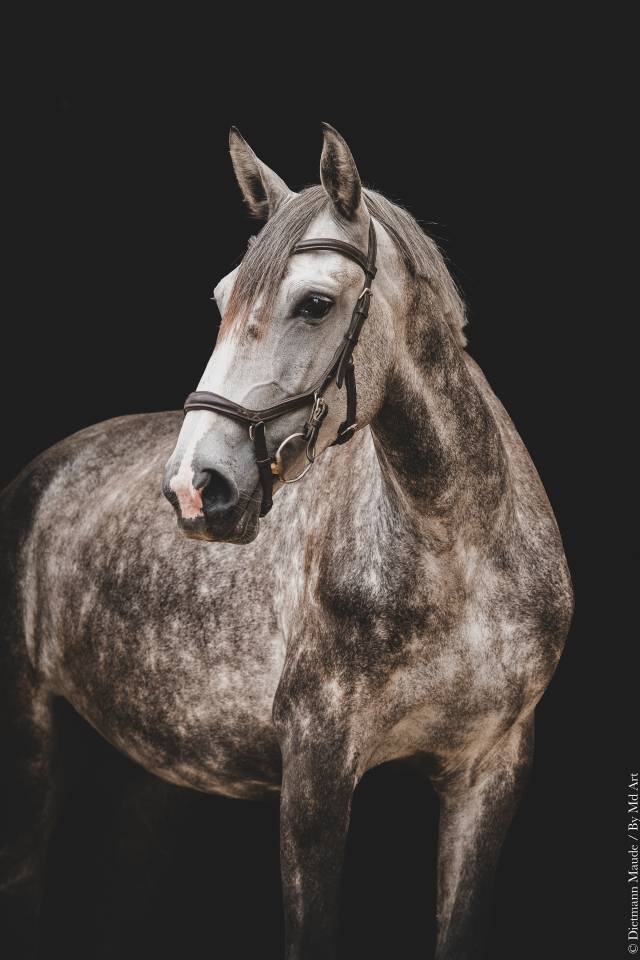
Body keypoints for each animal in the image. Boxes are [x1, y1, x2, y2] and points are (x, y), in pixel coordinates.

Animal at [0, 123, 573, 959]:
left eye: (315, 303)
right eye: (221, 298)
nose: (195, 485)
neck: (456, 555)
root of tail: (37, 477)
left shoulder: (489, 772)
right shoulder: (314, 773)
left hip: (155, 769)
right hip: (30, 745)